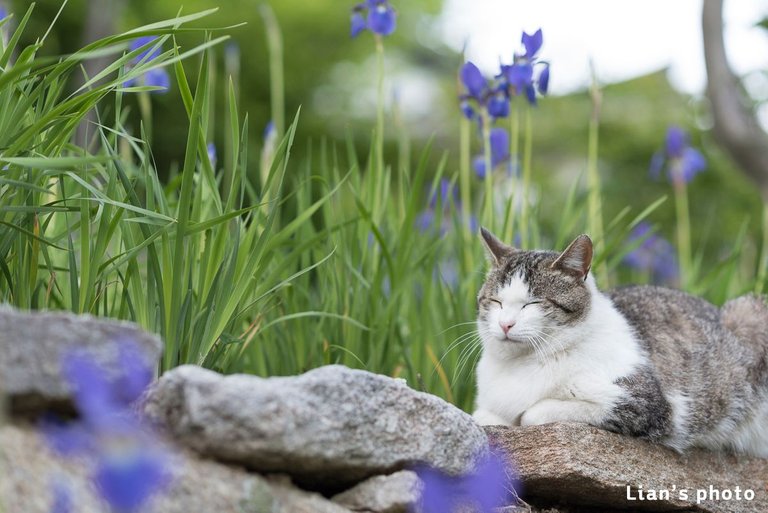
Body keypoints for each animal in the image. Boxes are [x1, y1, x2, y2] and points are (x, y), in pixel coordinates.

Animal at [472, 226, 768, 454]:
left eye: (532, 303)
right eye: (495, 301)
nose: (505, 324)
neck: (522, 363)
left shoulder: (646, 404)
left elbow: (533, 412)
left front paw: (522, 416)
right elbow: (482, 416)